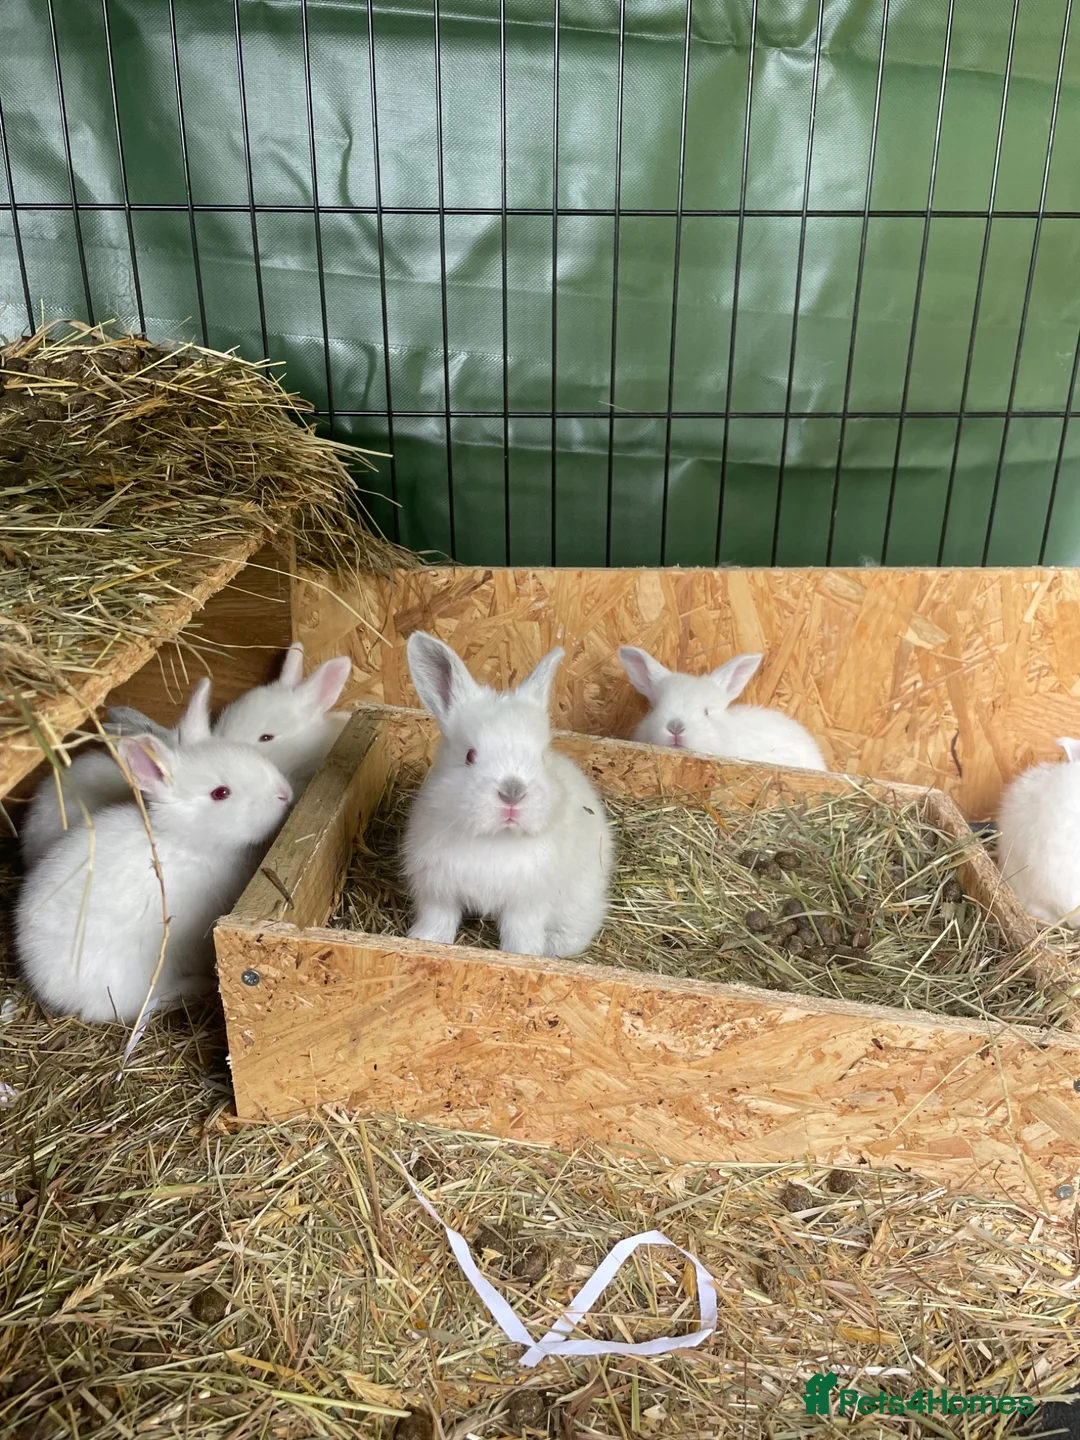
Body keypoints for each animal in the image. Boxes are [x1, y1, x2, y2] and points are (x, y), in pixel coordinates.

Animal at [403, 632, 614, 959]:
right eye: (470, 755)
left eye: (541, 757)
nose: (513, 793)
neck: (495, 840)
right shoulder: (437, 893)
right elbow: (437, 920)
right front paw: (425, 941)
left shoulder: (526, 905)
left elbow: (520, 934)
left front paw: (523, 954)